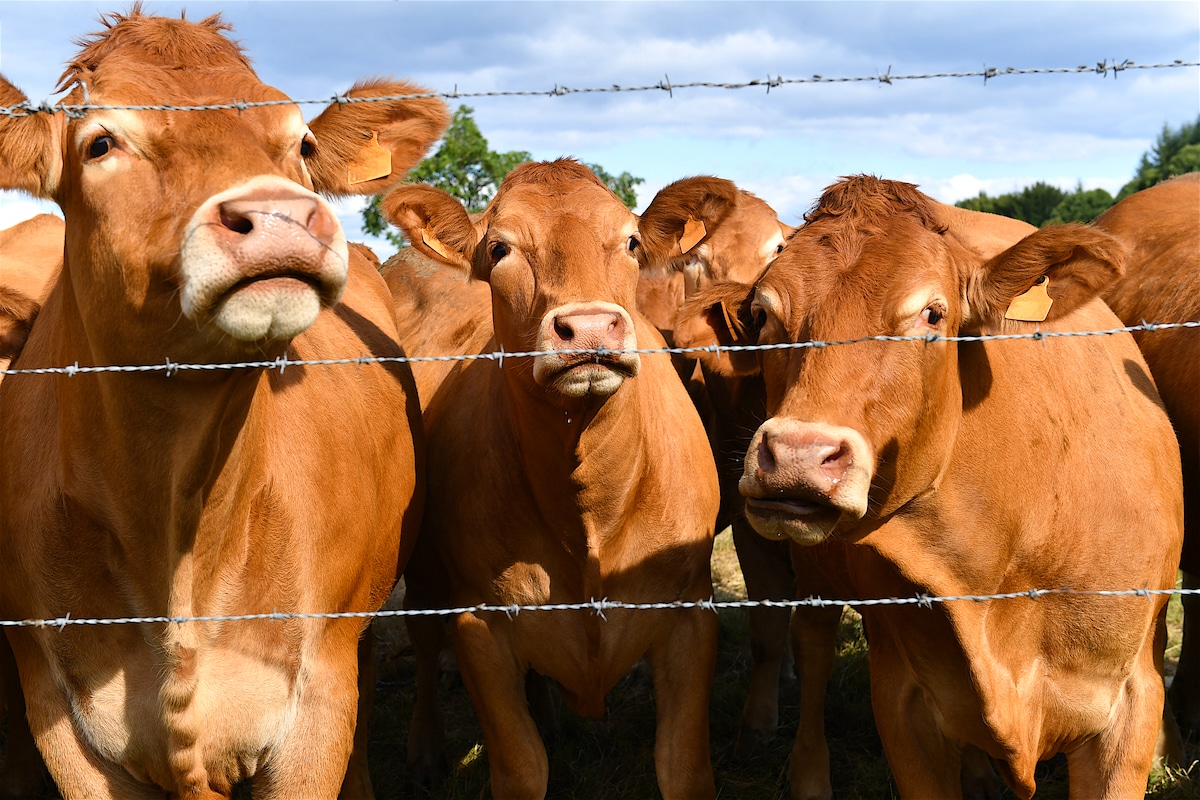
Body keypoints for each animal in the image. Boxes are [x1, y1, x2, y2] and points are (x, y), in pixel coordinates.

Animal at [384, 159, 720, 796]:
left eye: (631, 242)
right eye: (499, 248)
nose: (589, 327)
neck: (588, 511)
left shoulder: (690, 615)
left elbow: (682, 766)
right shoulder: (479, 626)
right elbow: (521, 766)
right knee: (422, 642)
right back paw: (423, 748)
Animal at [676, 176, 1180, 800]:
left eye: (933, 313)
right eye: (764, 315)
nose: (796, 456)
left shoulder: (1131, 703)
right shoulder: (903, 704)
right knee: (810, 644)